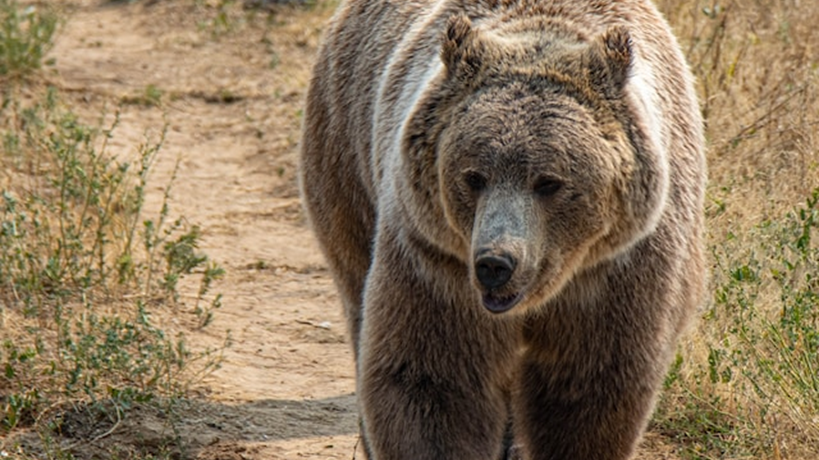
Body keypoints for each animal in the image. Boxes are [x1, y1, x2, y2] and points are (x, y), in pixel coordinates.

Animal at [298, 1, 708, 458]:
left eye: (549, 182)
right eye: (474, 176)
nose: (495, 263)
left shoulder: (620, 268)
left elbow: (587, 390)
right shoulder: (436, 260)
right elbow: (434, 380)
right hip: (347, 155)